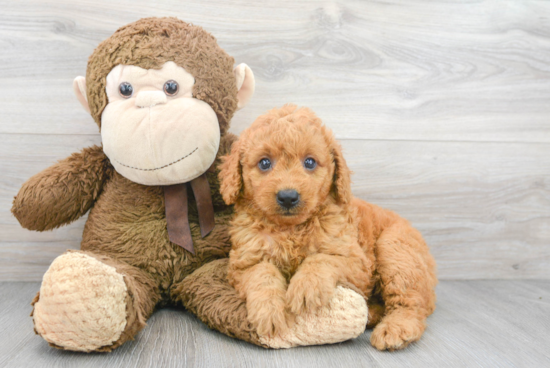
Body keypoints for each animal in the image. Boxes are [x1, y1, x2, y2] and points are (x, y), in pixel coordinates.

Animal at [220, 104, 440, 350]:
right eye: (264, 163)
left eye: (310, 162)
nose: (288, 197)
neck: (291, 228)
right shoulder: (244, 262)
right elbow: (262, 274)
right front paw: (269, 312)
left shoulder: (357, 262)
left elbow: (322, 259)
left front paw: (306, 287)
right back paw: (372, 314)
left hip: (396, 249)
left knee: (411, 303)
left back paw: (395, 329)